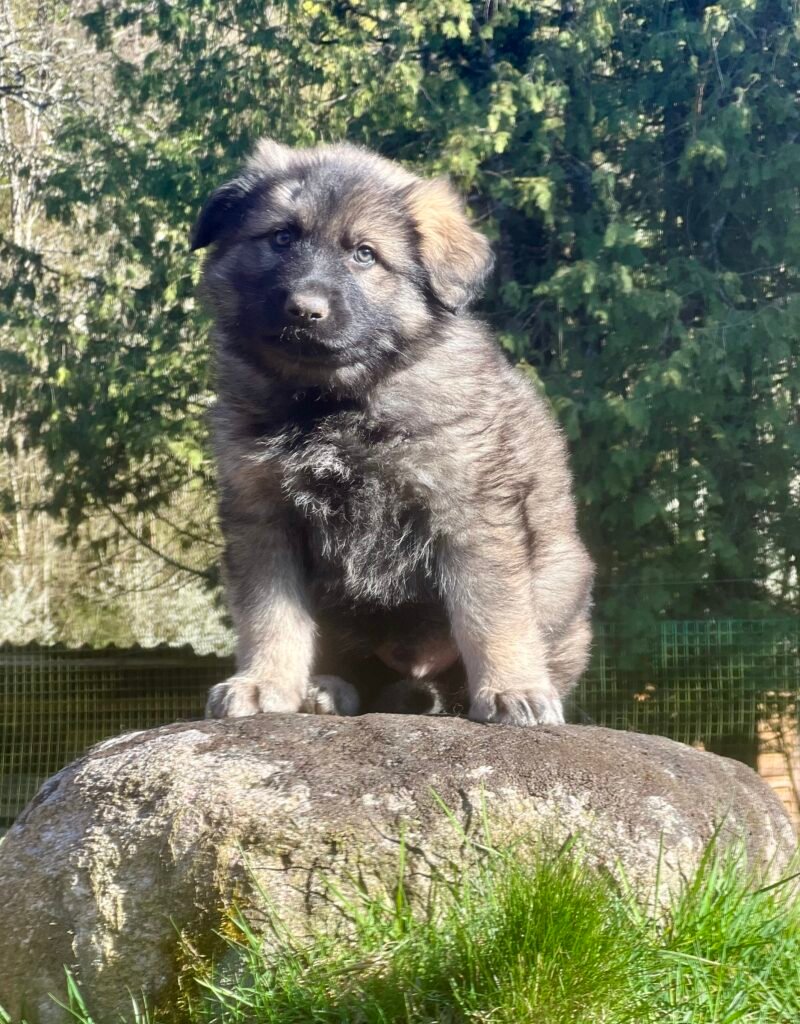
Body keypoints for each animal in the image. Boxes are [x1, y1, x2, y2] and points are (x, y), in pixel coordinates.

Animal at [191, 139, 593, 726]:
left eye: (364, 254)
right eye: (282, 236)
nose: (303, 310)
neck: (332, 401)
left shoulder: (469, 511)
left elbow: (490, 611)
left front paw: (511, 688)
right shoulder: (263, 516)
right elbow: (272, 615)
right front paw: (264, 682)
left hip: (562, 581)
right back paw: (327, 688)